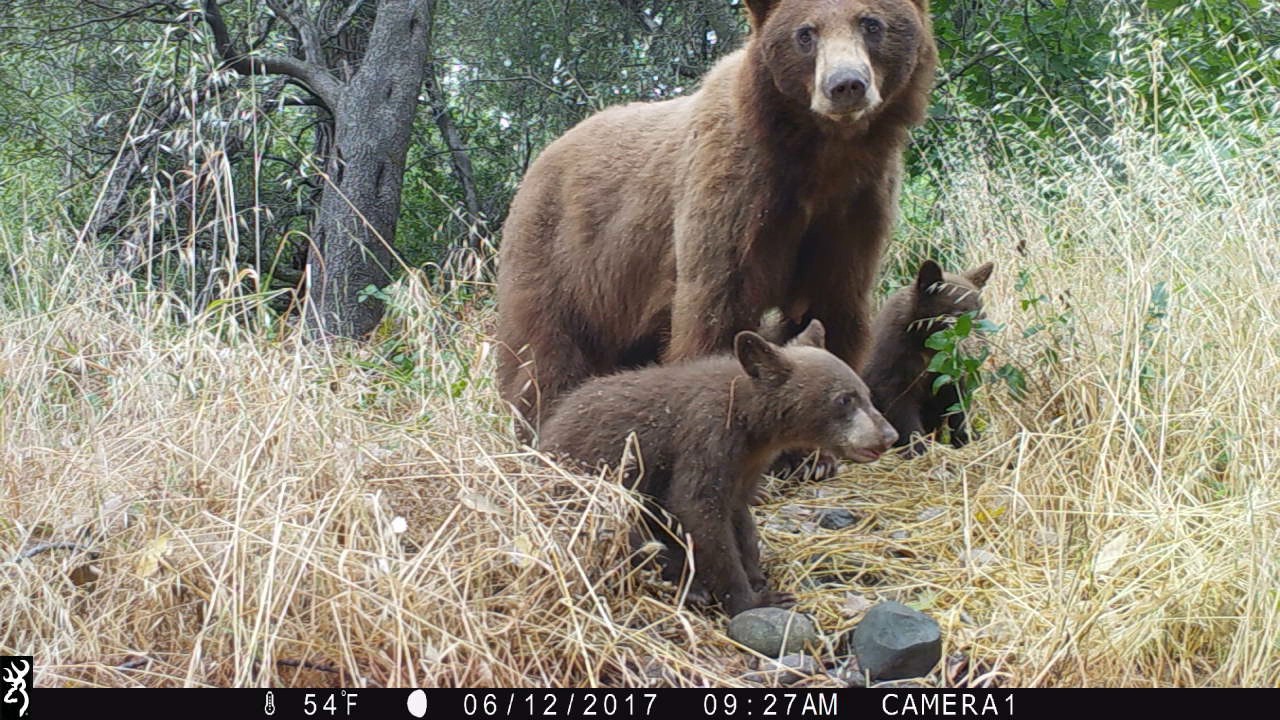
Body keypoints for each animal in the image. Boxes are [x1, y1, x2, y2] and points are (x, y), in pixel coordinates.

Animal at [496, 0, 937, 438]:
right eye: (805, 33)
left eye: (871, 23)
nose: (845, 85)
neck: (819, 157)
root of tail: (538, 164)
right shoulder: (735, 190)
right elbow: (718, 306)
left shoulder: (855, 207)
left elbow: (833, 303)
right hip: (563, 262)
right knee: (543, 355)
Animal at [538, 320, 899, 616]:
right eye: (844, 399)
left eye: (866, 394)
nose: (889, 435)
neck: (748, 420)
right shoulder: (706, 437)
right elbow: (698, 510)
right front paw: (752, 598)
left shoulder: (747, 464)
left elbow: (740, 515)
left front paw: (757, 574)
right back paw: (686, 585)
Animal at [861, 259, 994, 457]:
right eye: (958, 314)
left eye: (982, 314)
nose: (980, 349)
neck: (926, 344)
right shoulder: (893, 363)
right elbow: (899, 405)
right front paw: (917, 448)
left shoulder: (946, 370)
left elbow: (958, 401)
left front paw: (967, 437)